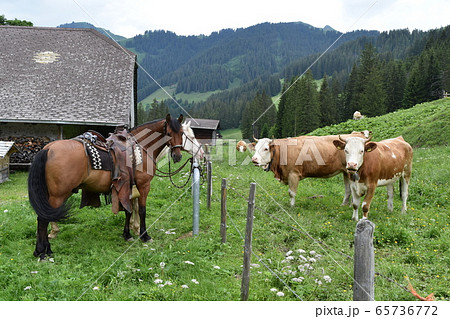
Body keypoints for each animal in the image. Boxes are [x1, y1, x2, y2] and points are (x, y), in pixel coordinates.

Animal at [28, 115, 183, 260]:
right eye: (169, 133)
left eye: (181, 132)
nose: (178, 156)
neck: (142, 147)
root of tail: (48, 148)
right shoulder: (144, 186)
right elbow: (142, 210)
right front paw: (144, 236)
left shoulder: (128, 186)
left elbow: (128, 210)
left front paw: (127, 234)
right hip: (58, 195)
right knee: (44, 218)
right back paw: (43, 251)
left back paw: (43, 249)